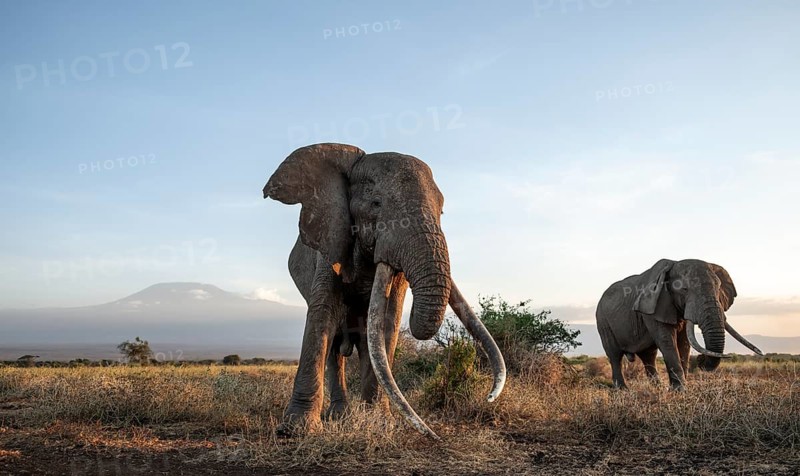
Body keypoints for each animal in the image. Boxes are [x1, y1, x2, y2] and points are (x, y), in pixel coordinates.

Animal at [262, 143, 506, 439]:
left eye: (442, 212)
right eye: (376, 204)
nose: (488, 398)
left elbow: (388, 320)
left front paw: (380, 423)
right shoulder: (330, 241)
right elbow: (323, 315)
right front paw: (296, 430)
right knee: (335, 347)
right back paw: (337, 416)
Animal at [595, 258, 763, 390]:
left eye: (718, 288)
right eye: (684, 289)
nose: (700, 360)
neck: (673, 264)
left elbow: (684, 342)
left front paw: (681, 389)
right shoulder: (651, 308)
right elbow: (667, 341)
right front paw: (679, 390)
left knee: (648, 355)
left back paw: (658, 388)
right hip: (602, 321)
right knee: (614, 355)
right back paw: (623, 390)